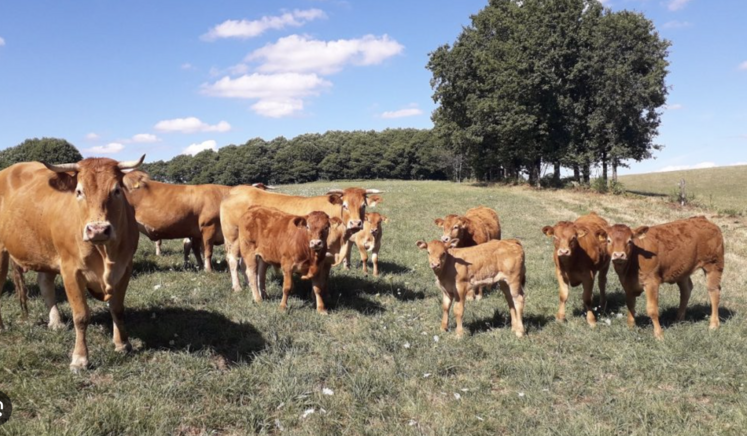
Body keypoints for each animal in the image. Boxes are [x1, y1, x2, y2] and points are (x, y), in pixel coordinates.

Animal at [0, 155, 145, 370]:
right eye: (79, 191)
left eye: (117, 190)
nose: (98, 230)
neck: (104, 254)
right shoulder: (71, 271)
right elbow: (81, 316)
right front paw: (80, 358)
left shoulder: (125, 268)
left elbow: (117, 309)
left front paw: (122, 344)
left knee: (45, 283)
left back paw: (56, 321)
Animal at [219, 185, 382, 292]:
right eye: (345, 205)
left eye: (363, 206)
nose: (356, 223)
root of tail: (237, 190)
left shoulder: (328, 256)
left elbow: (325, 279)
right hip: (233, 237)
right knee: (233, 260)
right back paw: (237, 287)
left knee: (244, 264)